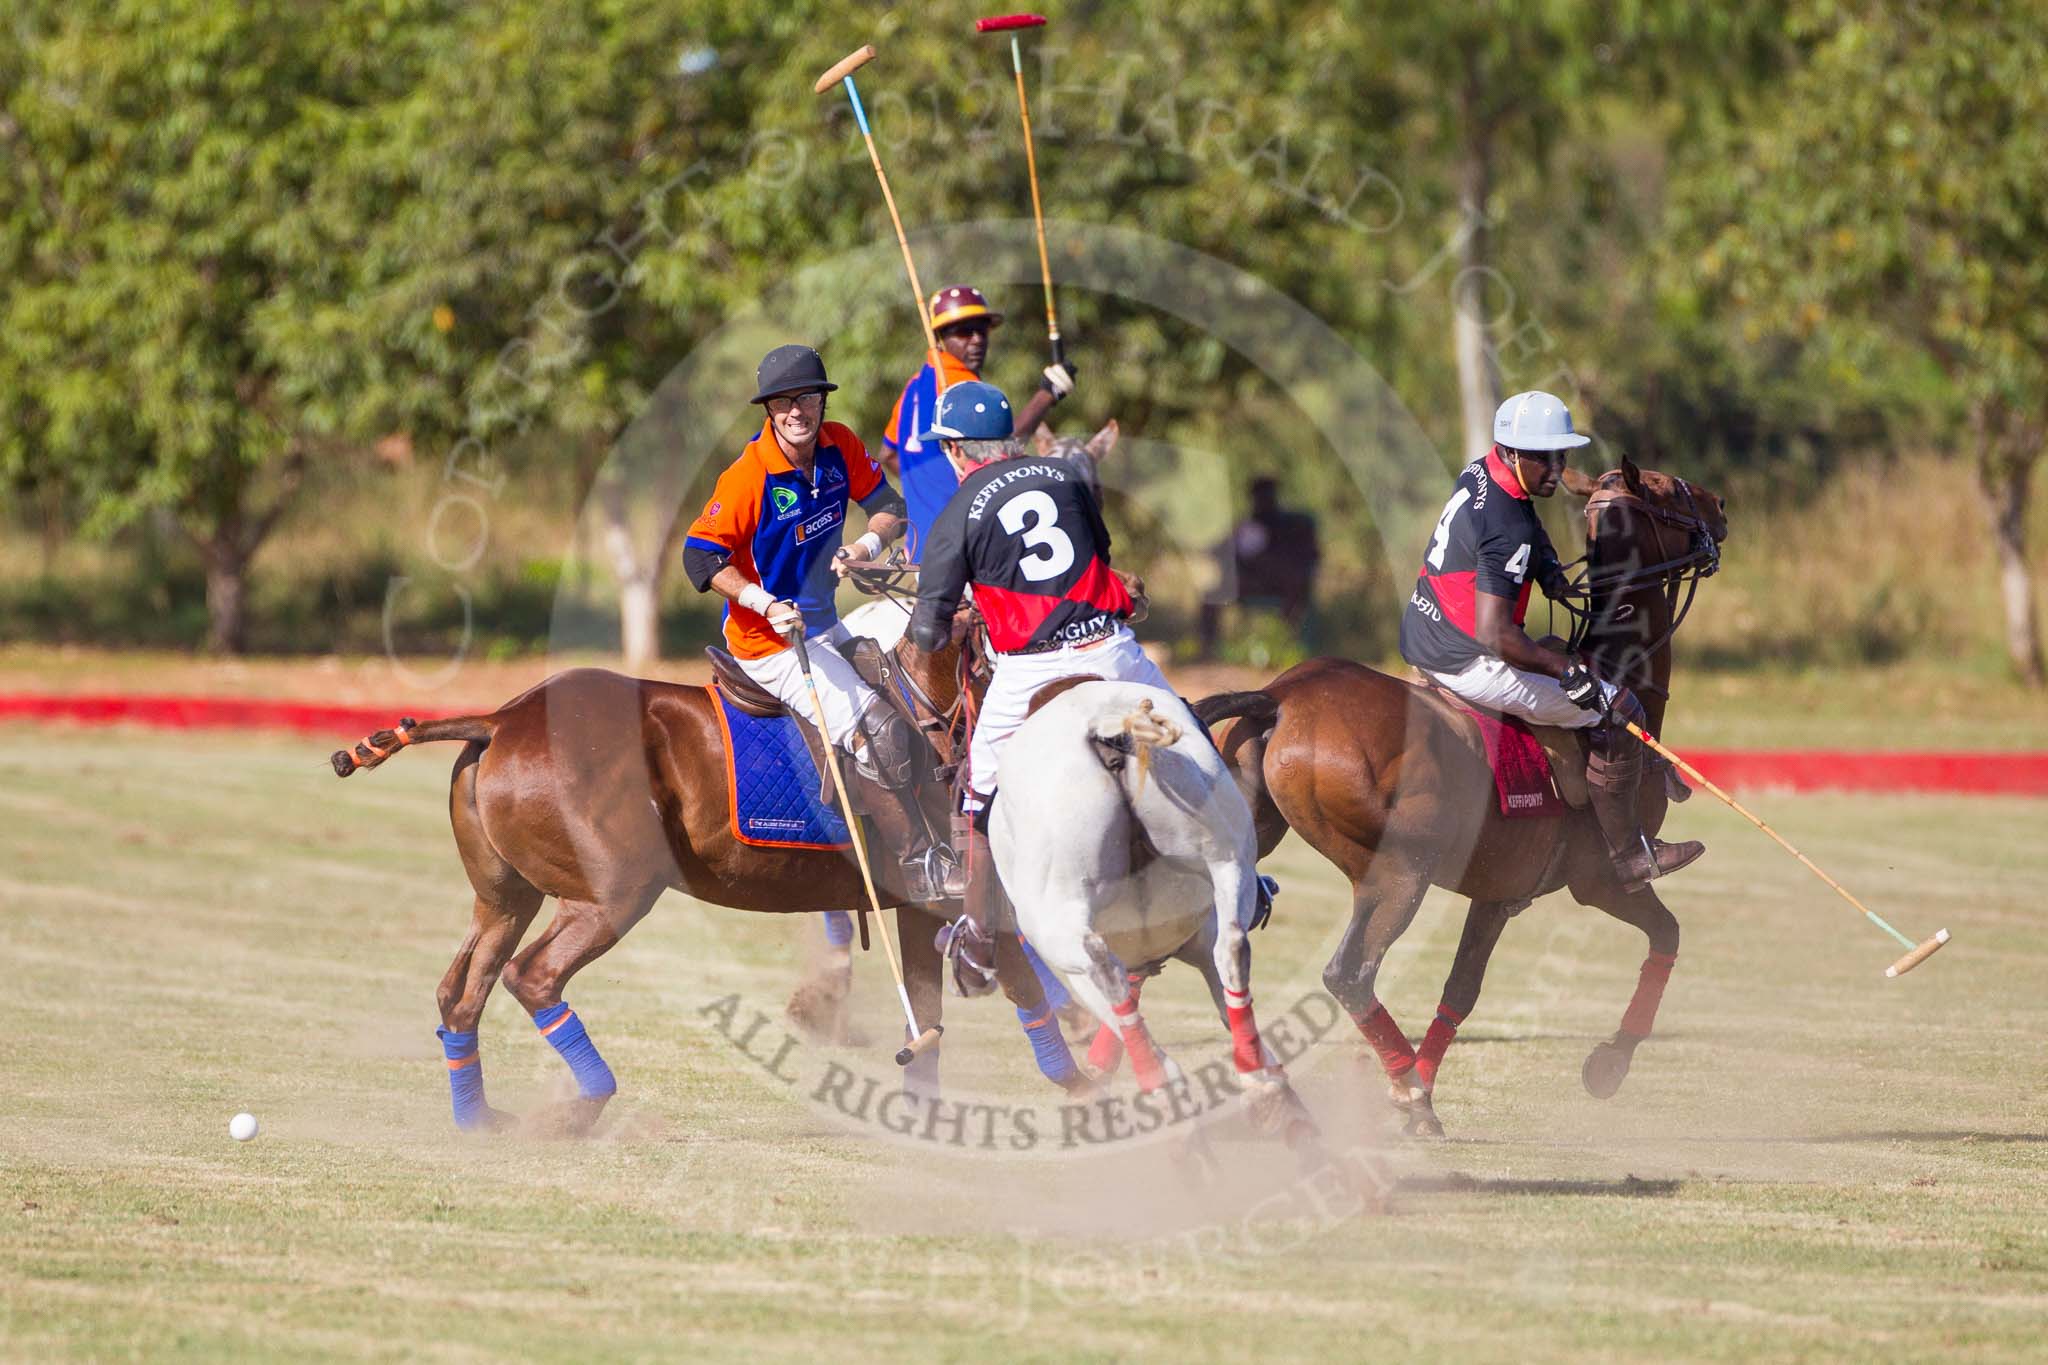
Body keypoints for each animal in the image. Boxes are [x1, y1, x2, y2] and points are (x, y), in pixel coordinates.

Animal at [327, 626, 1081, 1129]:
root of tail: (499, 719)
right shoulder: (954, 891)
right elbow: (1017, 975)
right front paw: (1087, 1083)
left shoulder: (922, 904)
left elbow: (930, 1012)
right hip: (612, 892)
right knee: (532, 976)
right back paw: (585, 1103)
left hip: (505, 896)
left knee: (461, 991)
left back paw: (479, 1121)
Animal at [987, 679, 1302, 1121]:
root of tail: (1105, 727)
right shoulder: (1197, 935)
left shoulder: (1077, 967)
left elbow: (1115, 1009)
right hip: (1225, 853)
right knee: (1232, 946)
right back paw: (1257, 1078)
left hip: (1055, 920)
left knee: (1104, 968)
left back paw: (1158, 1081)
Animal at [1196, 454, 1728, 1137]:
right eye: (1666, 489)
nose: (1720, 506)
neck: (1613, 666)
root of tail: (1278, 698)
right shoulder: (1599, 881)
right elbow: (1667, 934)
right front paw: (1609, 1065)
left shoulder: (1500, 894)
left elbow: (1461, 990)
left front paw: (1423, 1079)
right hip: (1399, 871)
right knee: (1349, 974)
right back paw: (1402, 1094)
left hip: (1255, 838)